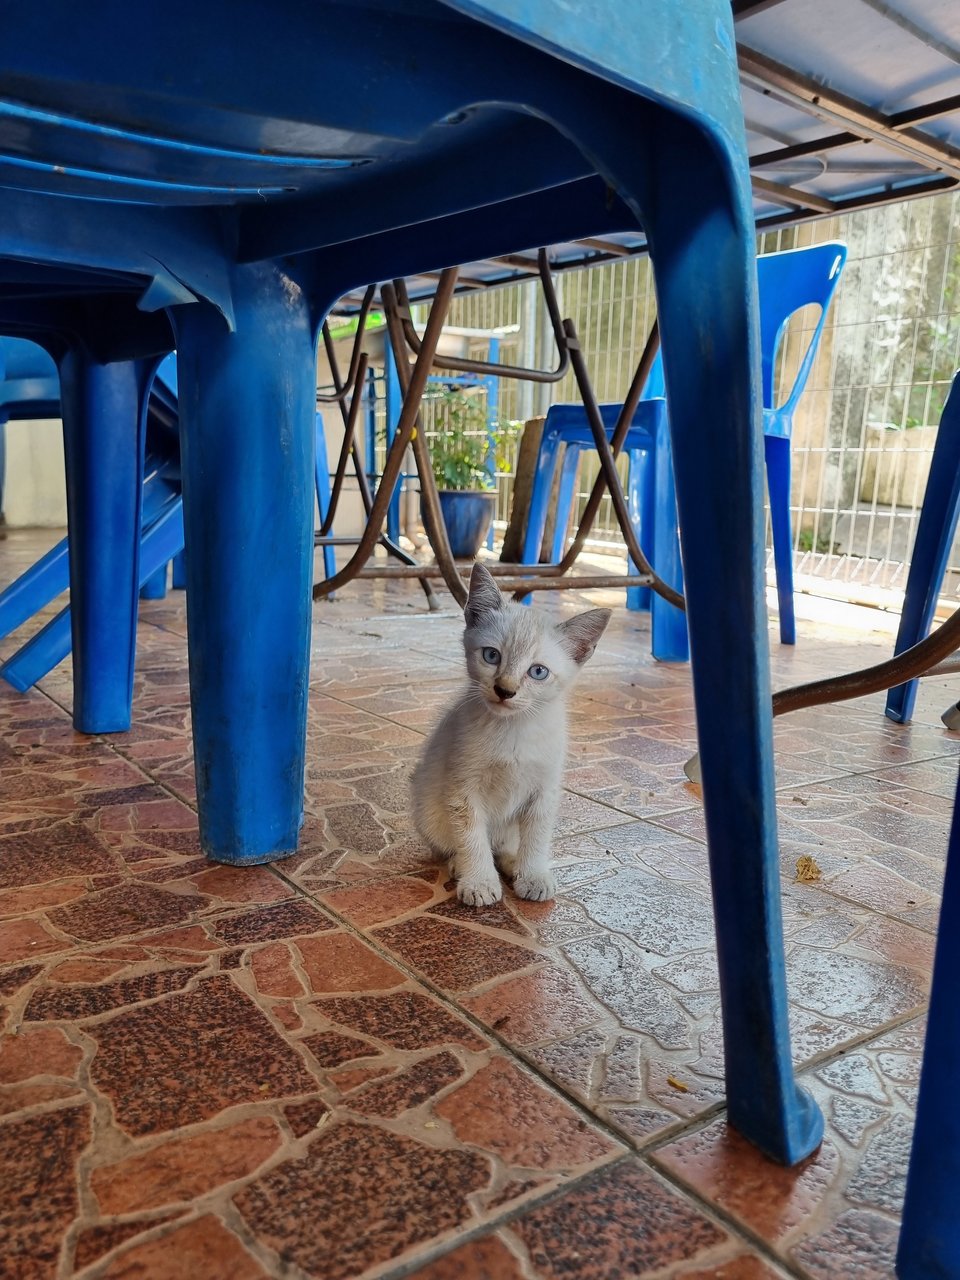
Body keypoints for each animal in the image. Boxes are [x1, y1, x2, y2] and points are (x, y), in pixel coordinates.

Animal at [412, 563, 609, 911]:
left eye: (538, 672)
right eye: (492, 656)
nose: (505, 690)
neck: (515, 729)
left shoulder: (544, 791)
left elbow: (537, 838)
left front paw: (533, 875)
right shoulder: (462, 790)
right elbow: (471, 837)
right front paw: (479, 882)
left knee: (505, 845)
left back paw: (514, 864)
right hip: (428, 808)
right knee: (456, 845)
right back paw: (461, 866)